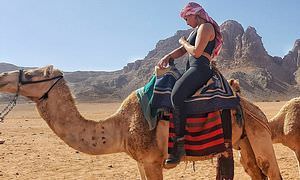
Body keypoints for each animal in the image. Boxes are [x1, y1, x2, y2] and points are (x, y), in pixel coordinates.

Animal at [0, 65, 282, 179]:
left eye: (32, 74)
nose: (2, 76)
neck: (120, 127)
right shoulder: (139, 162)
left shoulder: (153, 160)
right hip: (242, 140)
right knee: (254, 170)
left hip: (259, 133)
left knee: (270, 170)